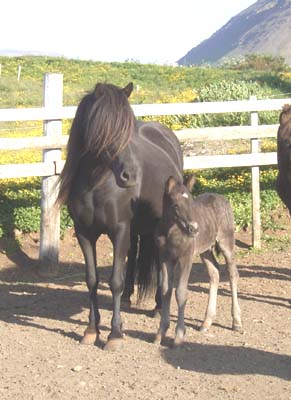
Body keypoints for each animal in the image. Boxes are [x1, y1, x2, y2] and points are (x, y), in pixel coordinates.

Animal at [155, 176, 244, 346]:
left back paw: (236, 322)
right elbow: (166, 291)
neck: (171, 232)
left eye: (191, 203)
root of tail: (222, 198)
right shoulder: (164, 258)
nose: (194, 229)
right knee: (214, 272)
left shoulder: (186, 258)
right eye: (175, 205)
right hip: (205, 250)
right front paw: (160, 333)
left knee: (232, 273)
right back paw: (206, 322)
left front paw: (179, 336)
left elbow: (181, 292)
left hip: (226, 241)